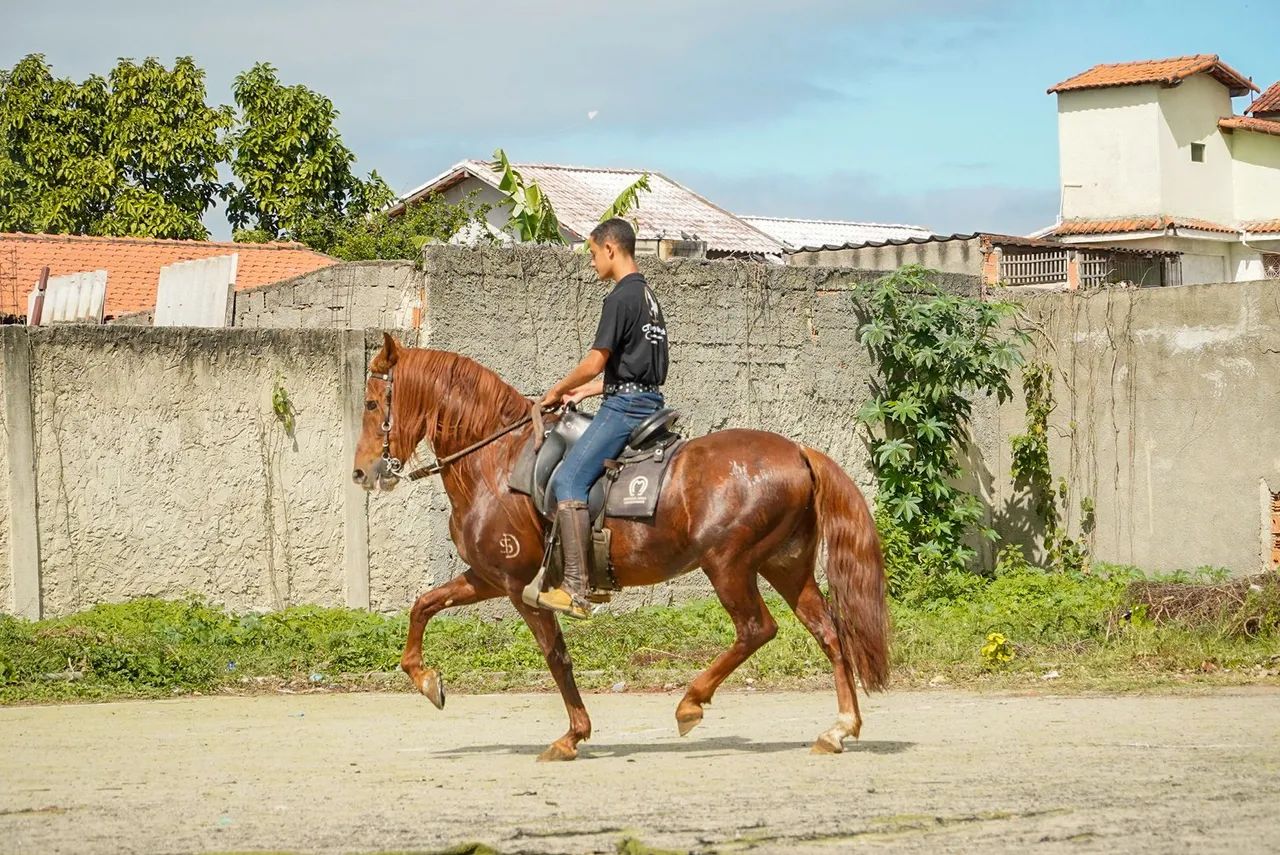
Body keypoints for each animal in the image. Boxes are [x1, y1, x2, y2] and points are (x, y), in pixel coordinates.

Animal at [351, 333, 889, 761]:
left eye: (374, 405)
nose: (362, 473)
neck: (497, 463)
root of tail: (799, 452)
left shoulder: (518, 587)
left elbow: (556, 656)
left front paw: (572, 736)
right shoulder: (489, 577)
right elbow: (423, 605)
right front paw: (426, 680)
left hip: (729, 565)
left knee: (757, 629)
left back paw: (690, 703)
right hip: (786, 565)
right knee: (829, 632)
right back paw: (840, 729)